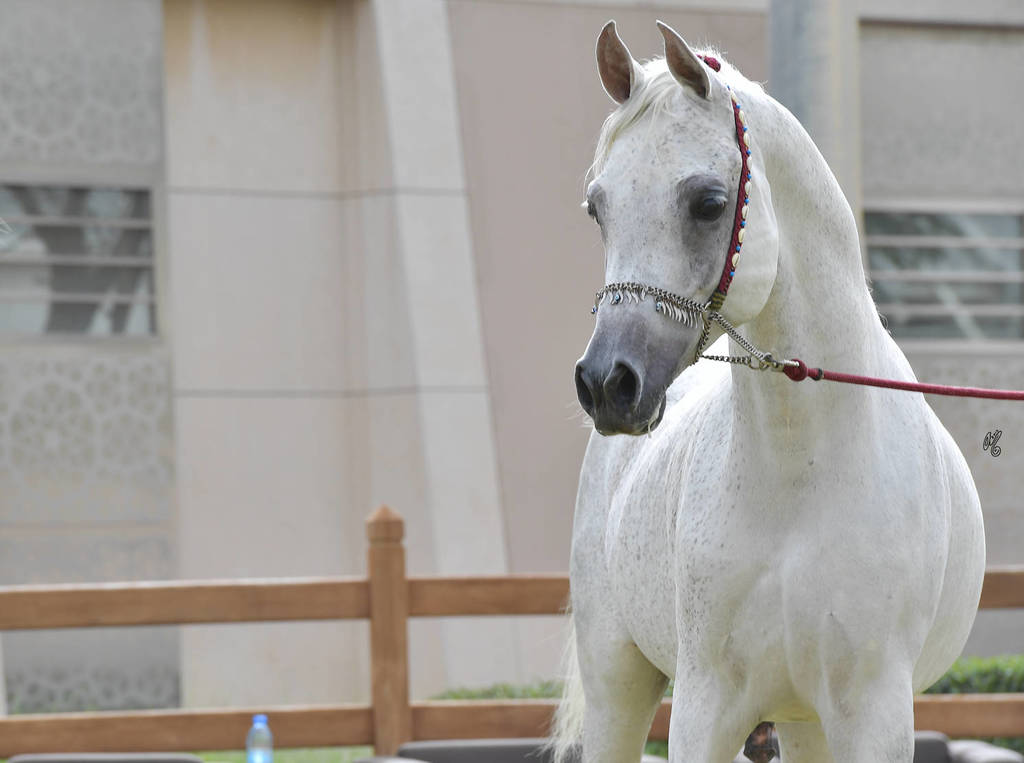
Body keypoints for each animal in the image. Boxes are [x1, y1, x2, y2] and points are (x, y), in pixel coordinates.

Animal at [554, 20, 986, 763]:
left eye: (708, 202)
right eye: (597, 208)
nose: (608, 382)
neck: (801, 472)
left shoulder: (872, 711)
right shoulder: (705, 706)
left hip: (805, 718)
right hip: (619, 682)